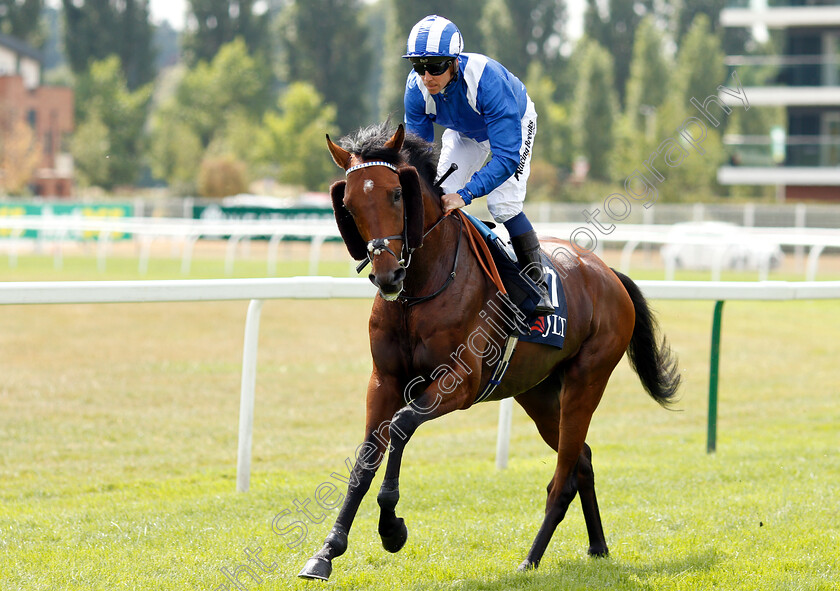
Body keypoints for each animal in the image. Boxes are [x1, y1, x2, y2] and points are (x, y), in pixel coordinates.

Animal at [298, 122, 680, 580]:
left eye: (395, 194)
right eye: (349, 203)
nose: (387, 275)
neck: (420, 290)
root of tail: (608, 273)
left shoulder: (460, 382)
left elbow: (403, 425)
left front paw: (391, 527)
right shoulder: (384, 380)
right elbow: (366, 459)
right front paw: (326, 550)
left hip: (586, 381)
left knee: (563, 477)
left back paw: (531, 558)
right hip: (538, 393)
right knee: (582, 459)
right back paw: (597, 546)